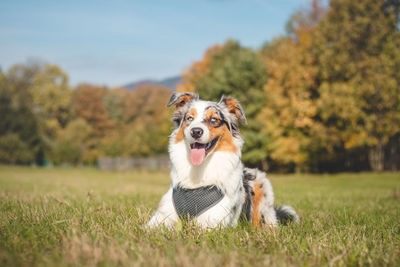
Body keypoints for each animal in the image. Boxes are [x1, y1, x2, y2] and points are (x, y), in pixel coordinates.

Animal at [147, 92, 296, 230]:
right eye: (189, 118)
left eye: (214, 119)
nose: (196, 131)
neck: (199, 171)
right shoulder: (161, 217)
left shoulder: (211, 222)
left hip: (262, 186)